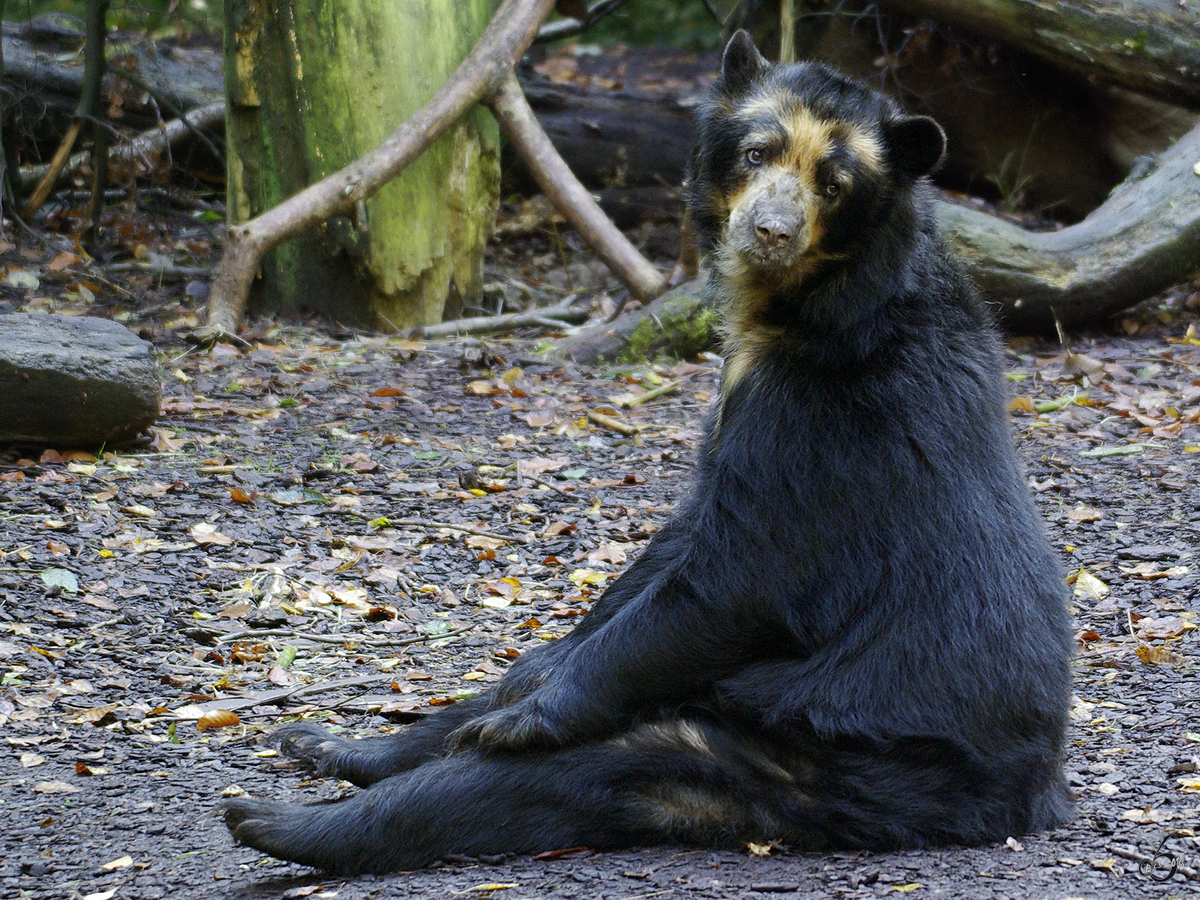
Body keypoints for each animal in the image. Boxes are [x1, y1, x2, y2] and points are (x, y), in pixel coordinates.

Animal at [225, 31, 1080, 878]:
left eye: (833, 184)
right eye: (757, 152)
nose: (770, 230)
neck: (803, 309)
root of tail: (1033, 796)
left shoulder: (823, 418)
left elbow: (736, 576)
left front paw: (529, 712)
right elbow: (668, 546)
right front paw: (525, 677)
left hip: (831, 749)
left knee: (555, 776)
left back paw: (283, 819)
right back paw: (329, 744)